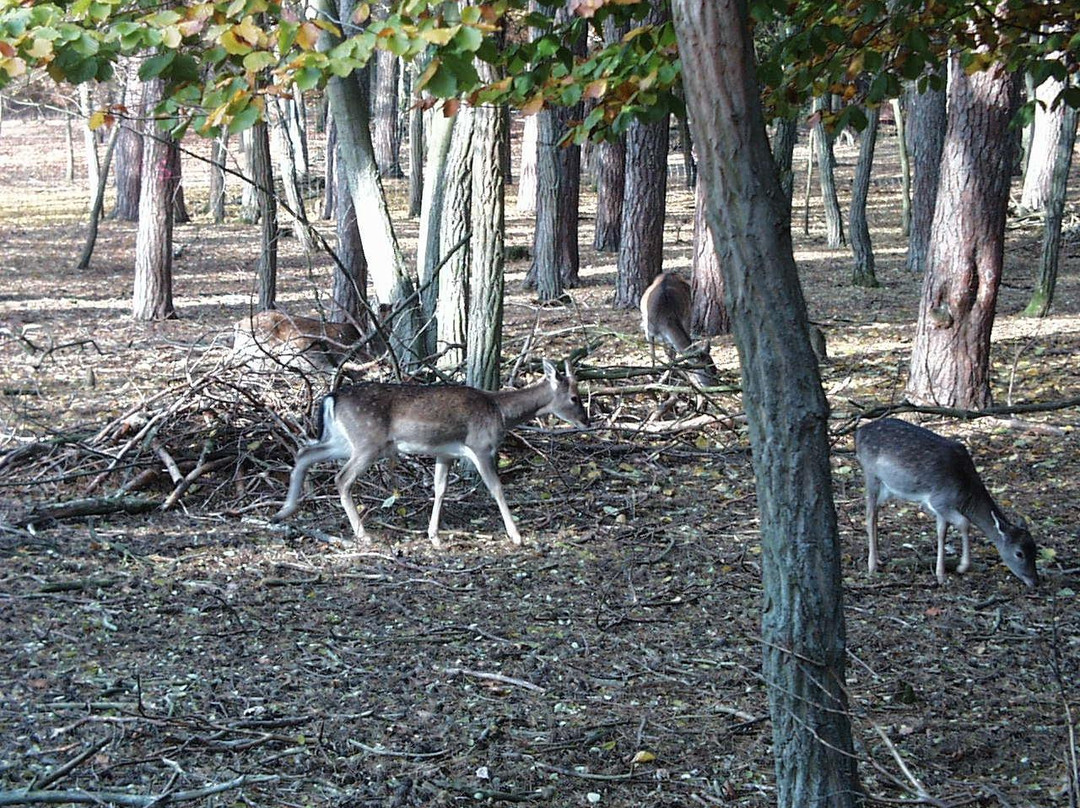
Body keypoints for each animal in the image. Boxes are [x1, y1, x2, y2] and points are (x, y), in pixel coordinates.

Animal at [272, 360, 591, 548]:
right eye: (574, 398)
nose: (587, 421)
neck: (499, 412)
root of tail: (331, 397)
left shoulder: (445, 453)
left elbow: (440, 489)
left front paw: (434, 535)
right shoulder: (481, 446)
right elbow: (496, 488)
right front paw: (517, 535)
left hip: (342, 440)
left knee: (304, 452)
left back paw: (284, 511)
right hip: (367, 442)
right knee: (341, 478)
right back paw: (363, 534)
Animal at [851, 416, 1036, 587]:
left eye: (1035, 549)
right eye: (1019, 553)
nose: (1035, 581)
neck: (964, 493)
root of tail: (858, 432)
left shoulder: (941, 507)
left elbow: (941, 531)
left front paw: (940, 575)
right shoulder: (940, 500)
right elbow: (964, 523)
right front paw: (962, 567)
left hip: (886, 488)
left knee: (876, 513)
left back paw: (879, 559)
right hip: (871, 474)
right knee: (869, 514)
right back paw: (872, 566)